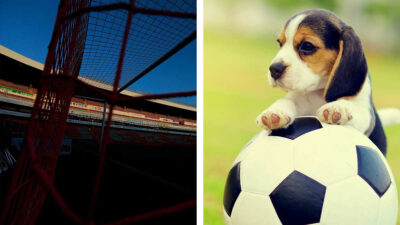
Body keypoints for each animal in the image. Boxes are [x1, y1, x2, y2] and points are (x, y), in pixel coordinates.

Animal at [256, 9, 388, 155]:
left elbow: (355, 108)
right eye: (280, 43)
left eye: (307, 46)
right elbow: (287, 100)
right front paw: (274, 113)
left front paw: (337, 108)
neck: (320, 91)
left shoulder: (366, 114)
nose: (274, 69)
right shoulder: (298, 98)